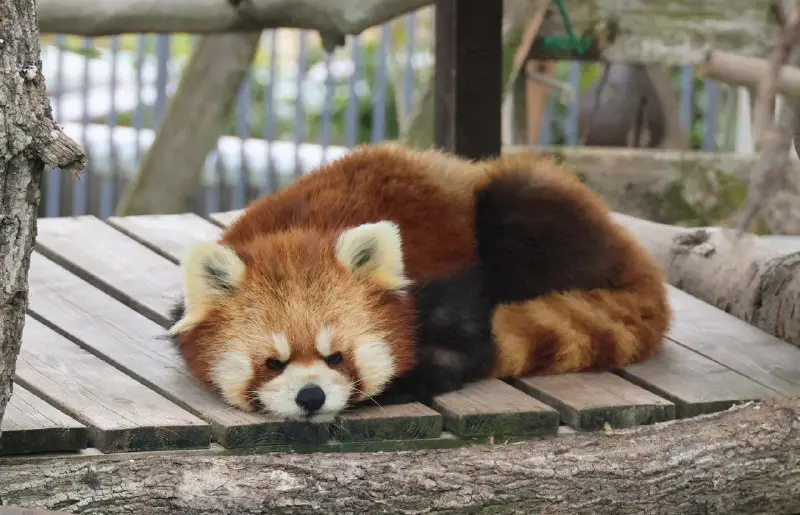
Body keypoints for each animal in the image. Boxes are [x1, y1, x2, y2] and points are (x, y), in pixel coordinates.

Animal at [166, 142, 672, 424]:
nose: (311, 397)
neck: (300, 230)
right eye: (272, 363)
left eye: (338, 356)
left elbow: (462, 351)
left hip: (524, 206)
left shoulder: (448, 285)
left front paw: (396, 383)